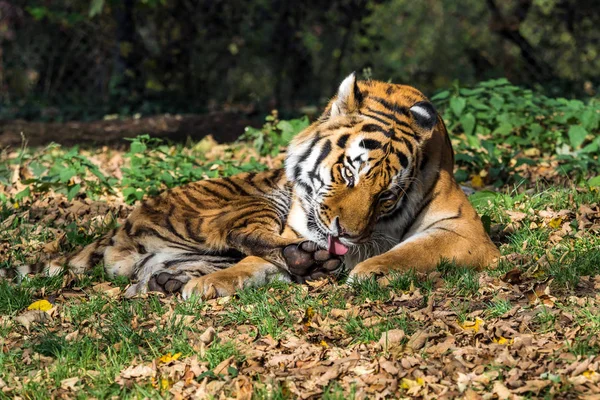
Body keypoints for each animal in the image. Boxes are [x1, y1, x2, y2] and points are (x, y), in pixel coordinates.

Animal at [21, 73, 500, 298]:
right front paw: (215, 285)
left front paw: (370, 269)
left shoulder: (462, 229)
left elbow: (410, 251)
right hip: (248, 203)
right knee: (240, 238)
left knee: (149, 275)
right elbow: (256, 261)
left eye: (386, 196)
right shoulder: (296, 230)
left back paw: (169, 282)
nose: (346, 235)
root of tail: (121, 225)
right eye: (349, 172)